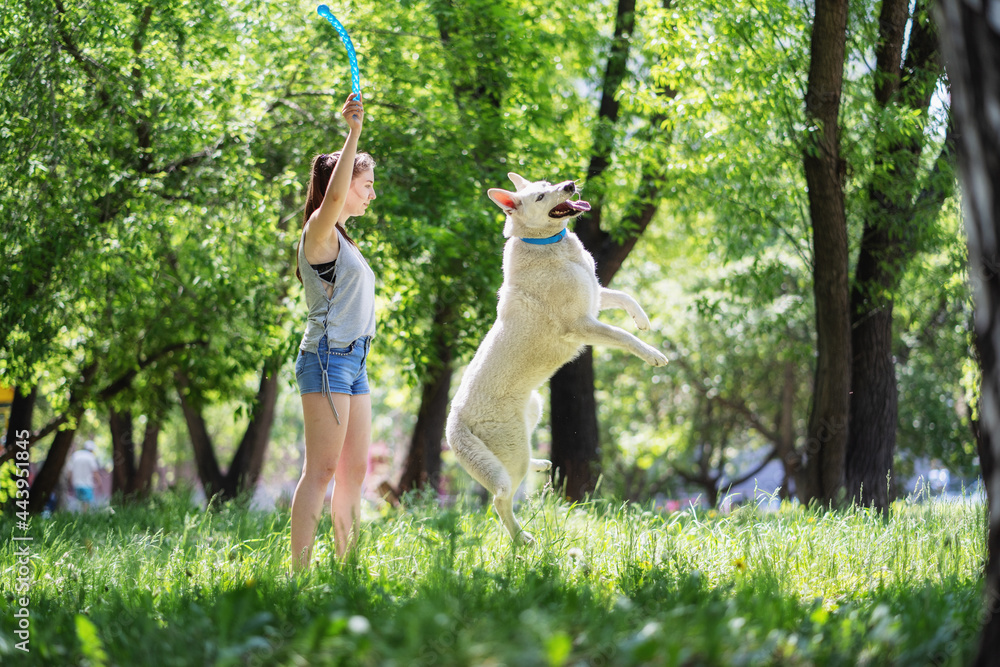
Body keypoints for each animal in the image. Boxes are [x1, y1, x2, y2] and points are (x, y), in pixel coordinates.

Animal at [448, 172, 668, 544]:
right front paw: (652, 354)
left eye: (548, 182)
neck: (547, 245)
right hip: (511, 453)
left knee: (516, 469)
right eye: (540, 197)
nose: (569, 184)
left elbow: (623, 296)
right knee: (499, 500)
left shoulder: (594, 297)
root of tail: (454, 420)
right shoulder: (582, 324)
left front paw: (642, 318)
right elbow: (624, 337)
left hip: (532, 411)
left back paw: (539, 466)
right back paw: (522, 539)